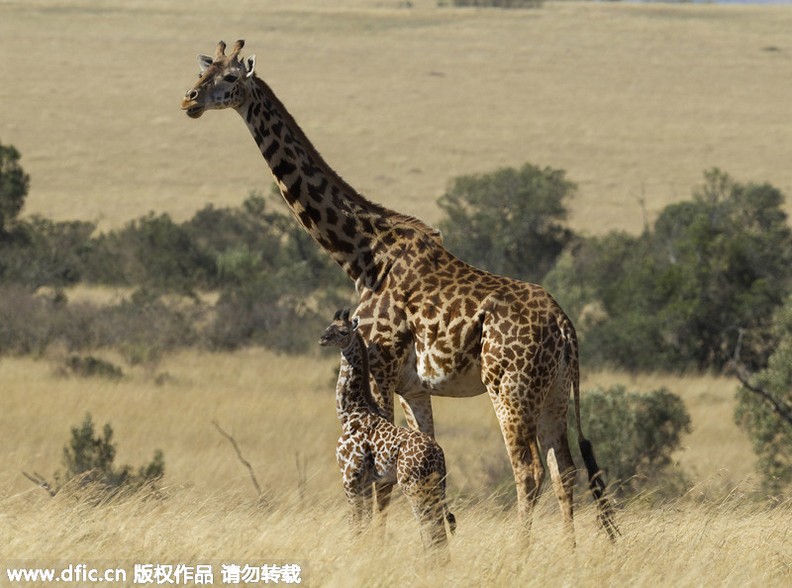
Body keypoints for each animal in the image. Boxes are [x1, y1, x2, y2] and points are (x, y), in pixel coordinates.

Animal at [322, 310, 458, 552]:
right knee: (439, 527)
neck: (350, 412)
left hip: (413, 485)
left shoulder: (349, 476)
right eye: (329, 325)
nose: (322, 338)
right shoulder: (367, 481)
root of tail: (439, 456)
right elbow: (364, 523)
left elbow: (354, 522)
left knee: (430, 526)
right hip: (434, 486)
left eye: (343, 331)